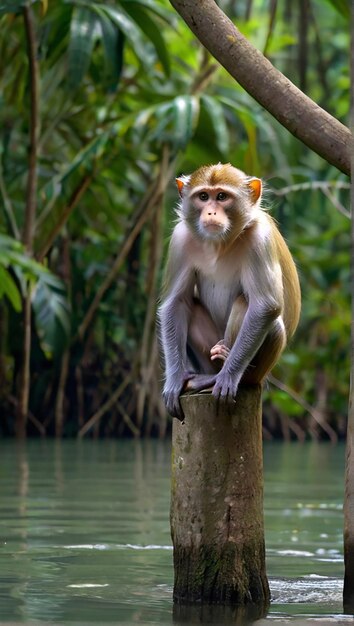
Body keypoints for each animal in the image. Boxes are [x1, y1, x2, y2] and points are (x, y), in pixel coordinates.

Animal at [159, 162, 300, 420]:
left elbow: (265, 306)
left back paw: (225, 371)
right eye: (203, 197)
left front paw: (228, 376)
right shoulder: (180, 238)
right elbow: (176, 303)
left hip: (259, 371)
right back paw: (207, 374)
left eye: (222, 197)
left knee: (250, 305)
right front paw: (174, 381)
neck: (219, 243)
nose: (211, 213)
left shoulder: (260, 239)